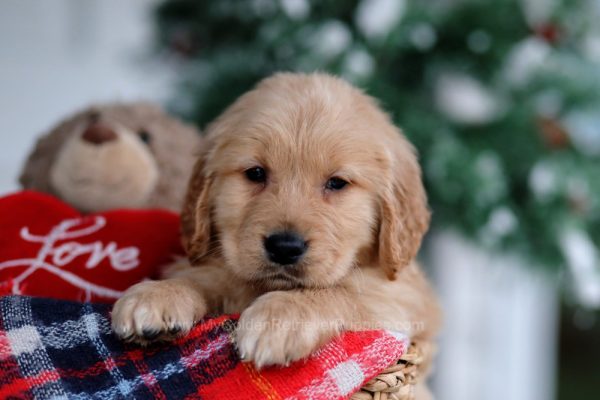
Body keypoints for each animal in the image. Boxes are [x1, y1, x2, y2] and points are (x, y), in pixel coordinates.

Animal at [111, 71, 440, 372]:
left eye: (337, 183)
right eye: (255, 173)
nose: (284, 247)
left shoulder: (398, 298)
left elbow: (342, 291)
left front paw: (280, 318)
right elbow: (202, 277)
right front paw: (158, 293)